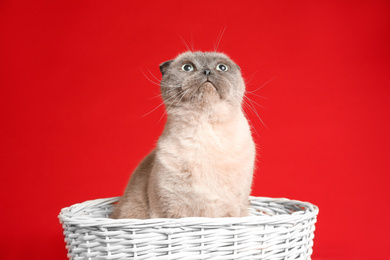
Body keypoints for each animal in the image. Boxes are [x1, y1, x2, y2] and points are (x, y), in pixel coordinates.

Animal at [109, 51, 256, 218]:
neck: (204, 127)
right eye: (187, 67)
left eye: (222, 67)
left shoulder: (232, 213)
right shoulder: (172, 213)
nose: (206, 71)